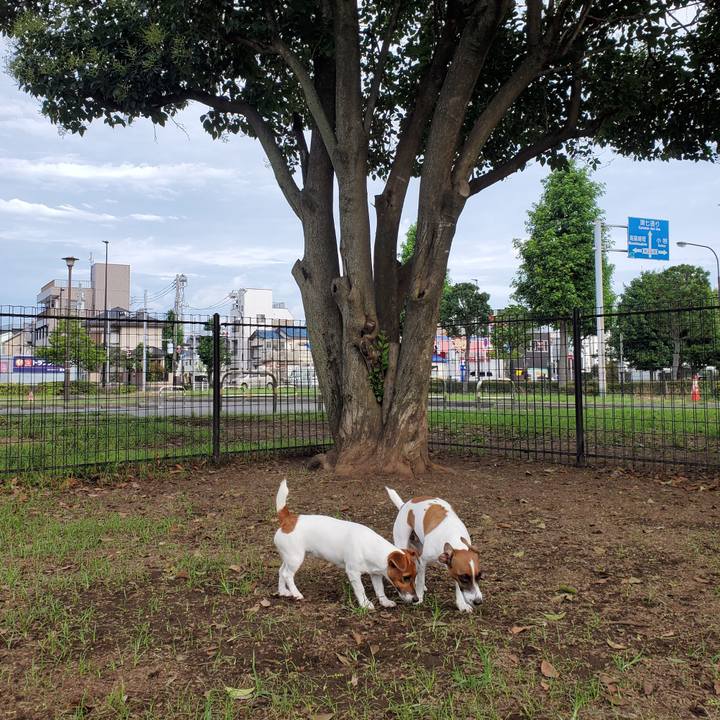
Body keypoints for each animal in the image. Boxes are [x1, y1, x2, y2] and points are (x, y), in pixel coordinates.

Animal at [273, 480, 418, 609]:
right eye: (405, 578)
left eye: (415, 576)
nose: (416, 599)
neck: (371, 547)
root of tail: (288, 519)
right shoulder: (353, 572)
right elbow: (360, 589)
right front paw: (365, 604)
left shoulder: (375, 574)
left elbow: (379, 589)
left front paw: (385, 601)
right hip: (295, 558)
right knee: (287, 574)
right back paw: (296, 593)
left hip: (289, 557)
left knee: (281, 571)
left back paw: (283, 591)